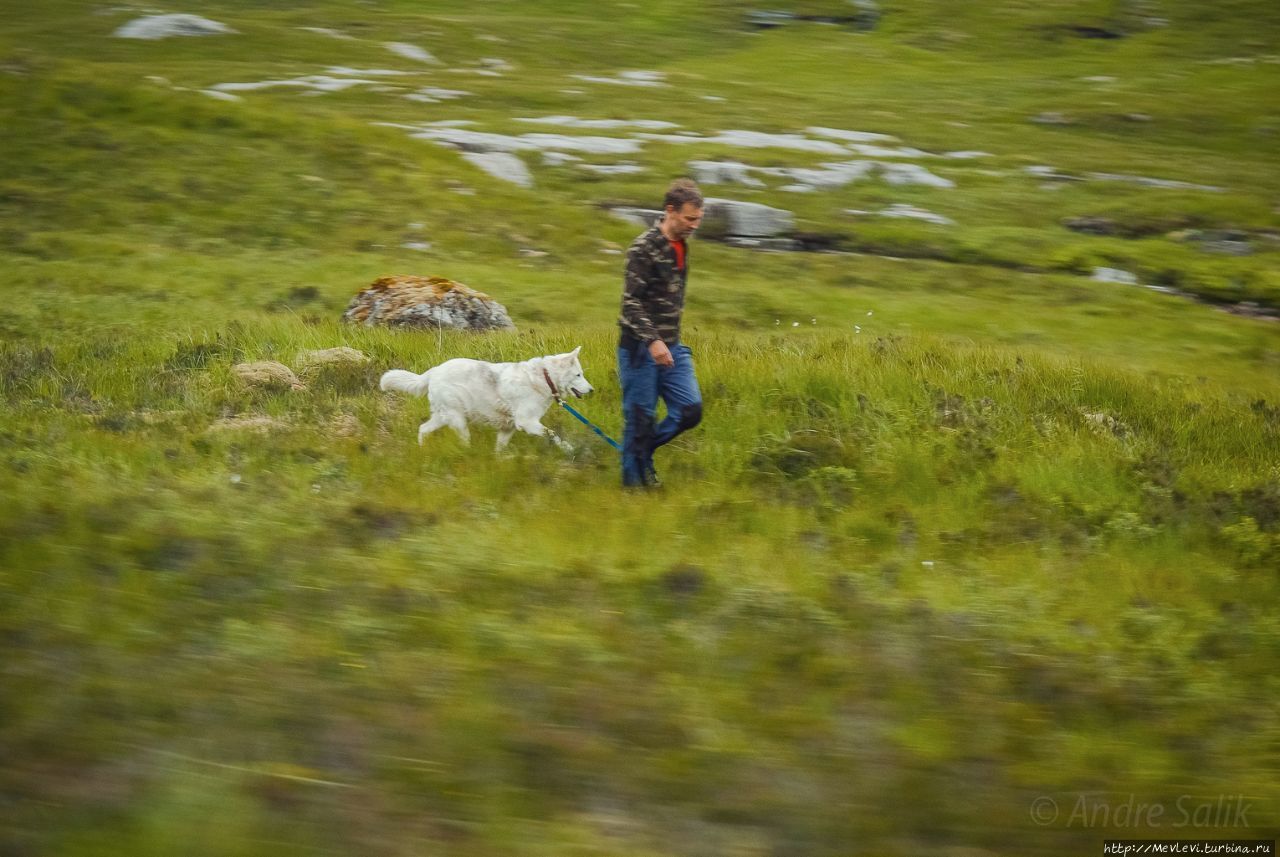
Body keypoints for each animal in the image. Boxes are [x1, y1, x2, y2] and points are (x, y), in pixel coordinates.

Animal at [378, 347, 593, 455]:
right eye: (578, 375)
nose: (592, 390)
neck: (544, 377)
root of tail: (434, 371)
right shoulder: (527, 423)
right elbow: (554, 435)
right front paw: (569, 449)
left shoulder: (508, 428)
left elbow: (500, 450)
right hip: (458, 420)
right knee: (462, 441)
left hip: (443, 417)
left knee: (423, 429)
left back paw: (422, 450)